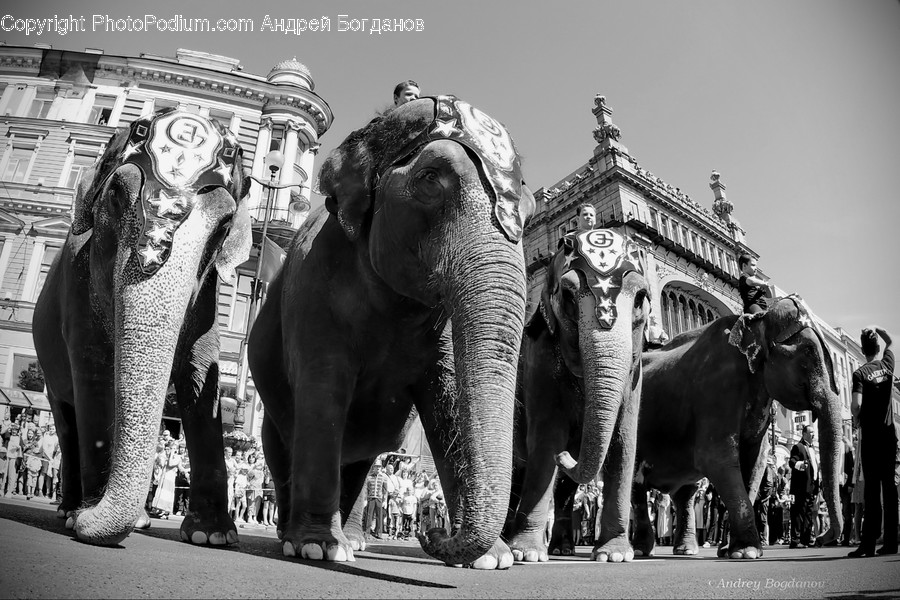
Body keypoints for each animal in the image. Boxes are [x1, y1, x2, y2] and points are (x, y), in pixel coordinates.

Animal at [32, 109, 252, 546]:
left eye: (223, 228)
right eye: (117, 197)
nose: (90, 518)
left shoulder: (206, 301)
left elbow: (201, 376)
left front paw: (213, 536)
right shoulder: (78, 286)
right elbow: (94, 375)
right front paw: (82, 520)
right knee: (65, 416)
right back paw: (70, 509)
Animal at [247, 95, 535, 567]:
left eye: (528, 212)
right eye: (430, 178)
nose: (430, 532)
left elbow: (449, 404)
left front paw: (492, 559)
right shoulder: (312, 290)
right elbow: (322, 391)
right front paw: (316, 546)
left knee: (358, 460)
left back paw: (353, 539)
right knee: (281, 445)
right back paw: (295, 536)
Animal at [501, 228, 651, 563]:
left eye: (640, 299)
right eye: (569, 297)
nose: (567, 454)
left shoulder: (634, 375)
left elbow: (624, 443)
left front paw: (614, 556)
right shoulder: (539, 360)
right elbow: (546, 440)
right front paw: (527, 554)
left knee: (564, 488)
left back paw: (562, 548)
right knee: (519, 470)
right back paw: (508, 541)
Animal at [631, 295, 843, 559]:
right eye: (807, 351)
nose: (823, 539)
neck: (755, 322)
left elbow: (754, 464)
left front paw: (732, 551)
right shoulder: (716, 390)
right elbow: (717, 458)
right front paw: (748, 552)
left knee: (686, 493)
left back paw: (686, 549)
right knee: (636, 486)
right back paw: (640, 550)